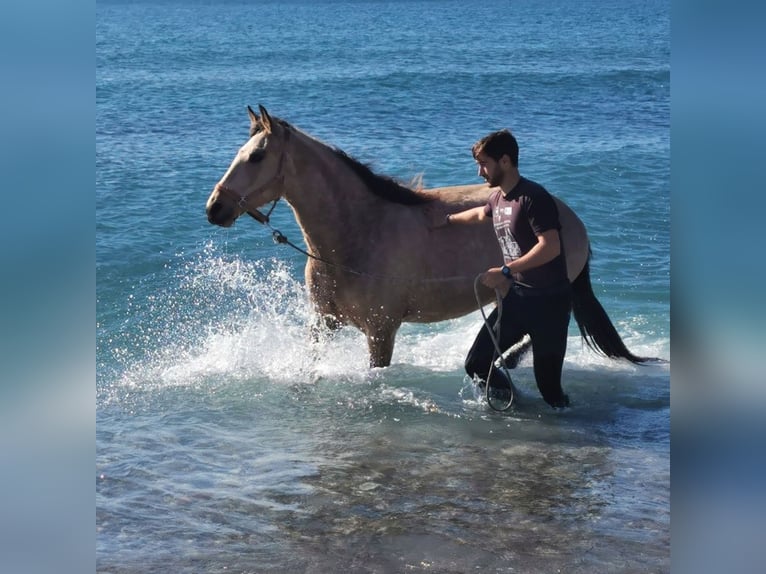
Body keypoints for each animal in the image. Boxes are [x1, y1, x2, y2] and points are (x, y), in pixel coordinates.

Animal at [207, 104, 652, 368]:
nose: (215, 208)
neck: (355, 236)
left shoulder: (381, 333)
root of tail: (572, 220)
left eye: (257, 156)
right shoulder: (323, 324)